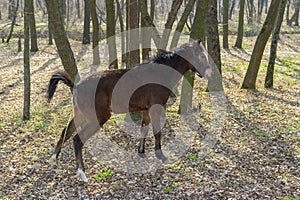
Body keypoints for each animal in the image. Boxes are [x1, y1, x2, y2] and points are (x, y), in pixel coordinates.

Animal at [47, 39, 211, 182]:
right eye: (202, 56)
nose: (210, 74)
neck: (159, 74)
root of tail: (76, 86)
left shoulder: (145, 110)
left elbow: (144, 128)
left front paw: (141, 151)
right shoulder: (156, 108)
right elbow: (157, 132)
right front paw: (161, 155)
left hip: (81, 115)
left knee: (65, 132)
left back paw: (53, 159)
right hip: (97, 118)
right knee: (77, 139)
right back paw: (82, 173)